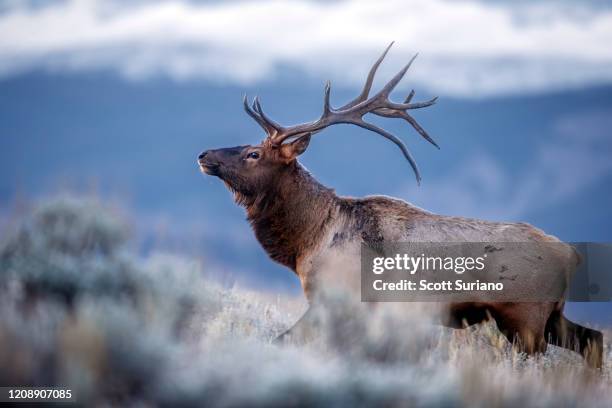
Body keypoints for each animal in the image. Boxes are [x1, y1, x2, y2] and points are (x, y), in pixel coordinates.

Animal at [200, 43, 604, 368]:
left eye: (253, 154)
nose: (204, 155)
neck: (307, 239)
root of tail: (570, 254)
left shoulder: (338, 298)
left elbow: (284, 340)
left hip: (525, 317)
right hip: (551, 315)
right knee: (593, 340)